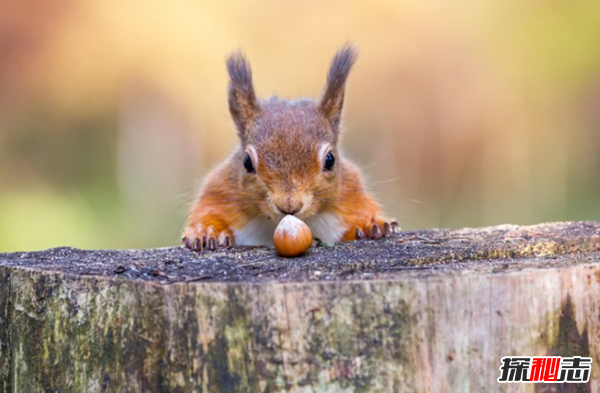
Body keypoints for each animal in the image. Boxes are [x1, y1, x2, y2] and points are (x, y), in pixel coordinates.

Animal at [183, 44, 398, 250]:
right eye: (246, 162)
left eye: (330, 160)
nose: (289, 205)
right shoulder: (219, 191)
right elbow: (209, 211)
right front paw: (206, 231)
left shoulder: (351, 192)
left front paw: (372, 224)